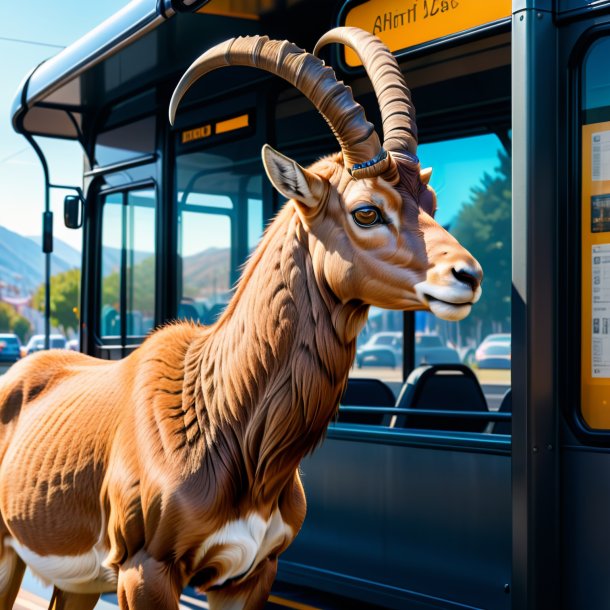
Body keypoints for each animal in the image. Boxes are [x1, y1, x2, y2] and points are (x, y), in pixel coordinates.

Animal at [0, 27, 480, 608]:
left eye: (427, 200)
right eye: (367, 210)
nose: (468, 275)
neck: (215, 409)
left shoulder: (252, 574)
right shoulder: (146, 572)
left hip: (80, 583)